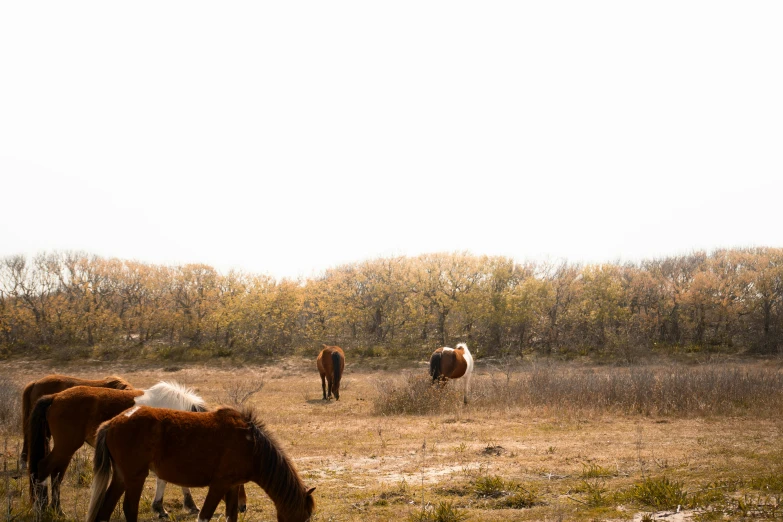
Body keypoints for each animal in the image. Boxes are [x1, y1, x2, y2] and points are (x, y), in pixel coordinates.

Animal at [27, 380, 222, 512]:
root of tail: (55, 397)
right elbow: (165, 479)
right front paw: (163, 508)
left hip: (65, 449)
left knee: (56, 475)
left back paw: (55, 509)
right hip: (65, 447)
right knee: (44, 469)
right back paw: (41, 508)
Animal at [86, 406, 316, 520]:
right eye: (304, 517)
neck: (251, 445)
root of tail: (113, 422)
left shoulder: (232, 487)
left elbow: (231, 516)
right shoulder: (219, 485)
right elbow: (205, 516)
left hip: (121, 477)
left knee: (105, 511)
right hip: (135, 477)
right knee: (129, 508)